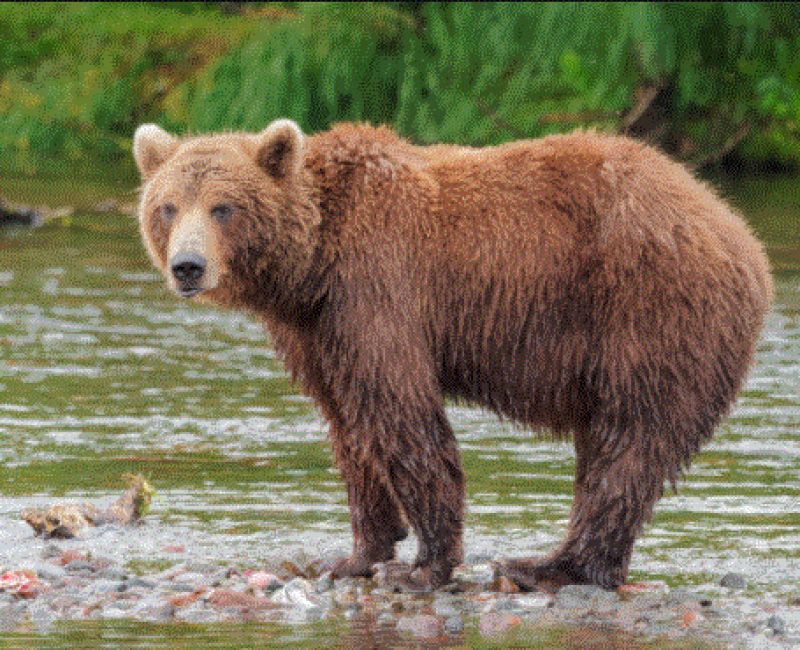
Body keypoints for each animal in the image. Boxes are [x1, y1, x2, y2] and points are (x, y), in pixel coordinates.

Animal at [132, 119, 772, 592]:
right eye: (168, 206)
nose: (188, 266)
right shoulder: (318, 331)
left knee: (628, 442)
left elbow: (401, 415)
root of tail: (739, 232)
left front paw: (423, 566)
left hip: (650, 312)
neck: (310, 265)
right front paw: (356, 554)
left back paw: (547, 565)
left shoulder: (377, 288)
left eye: (223, 207)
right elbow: (349, 427)